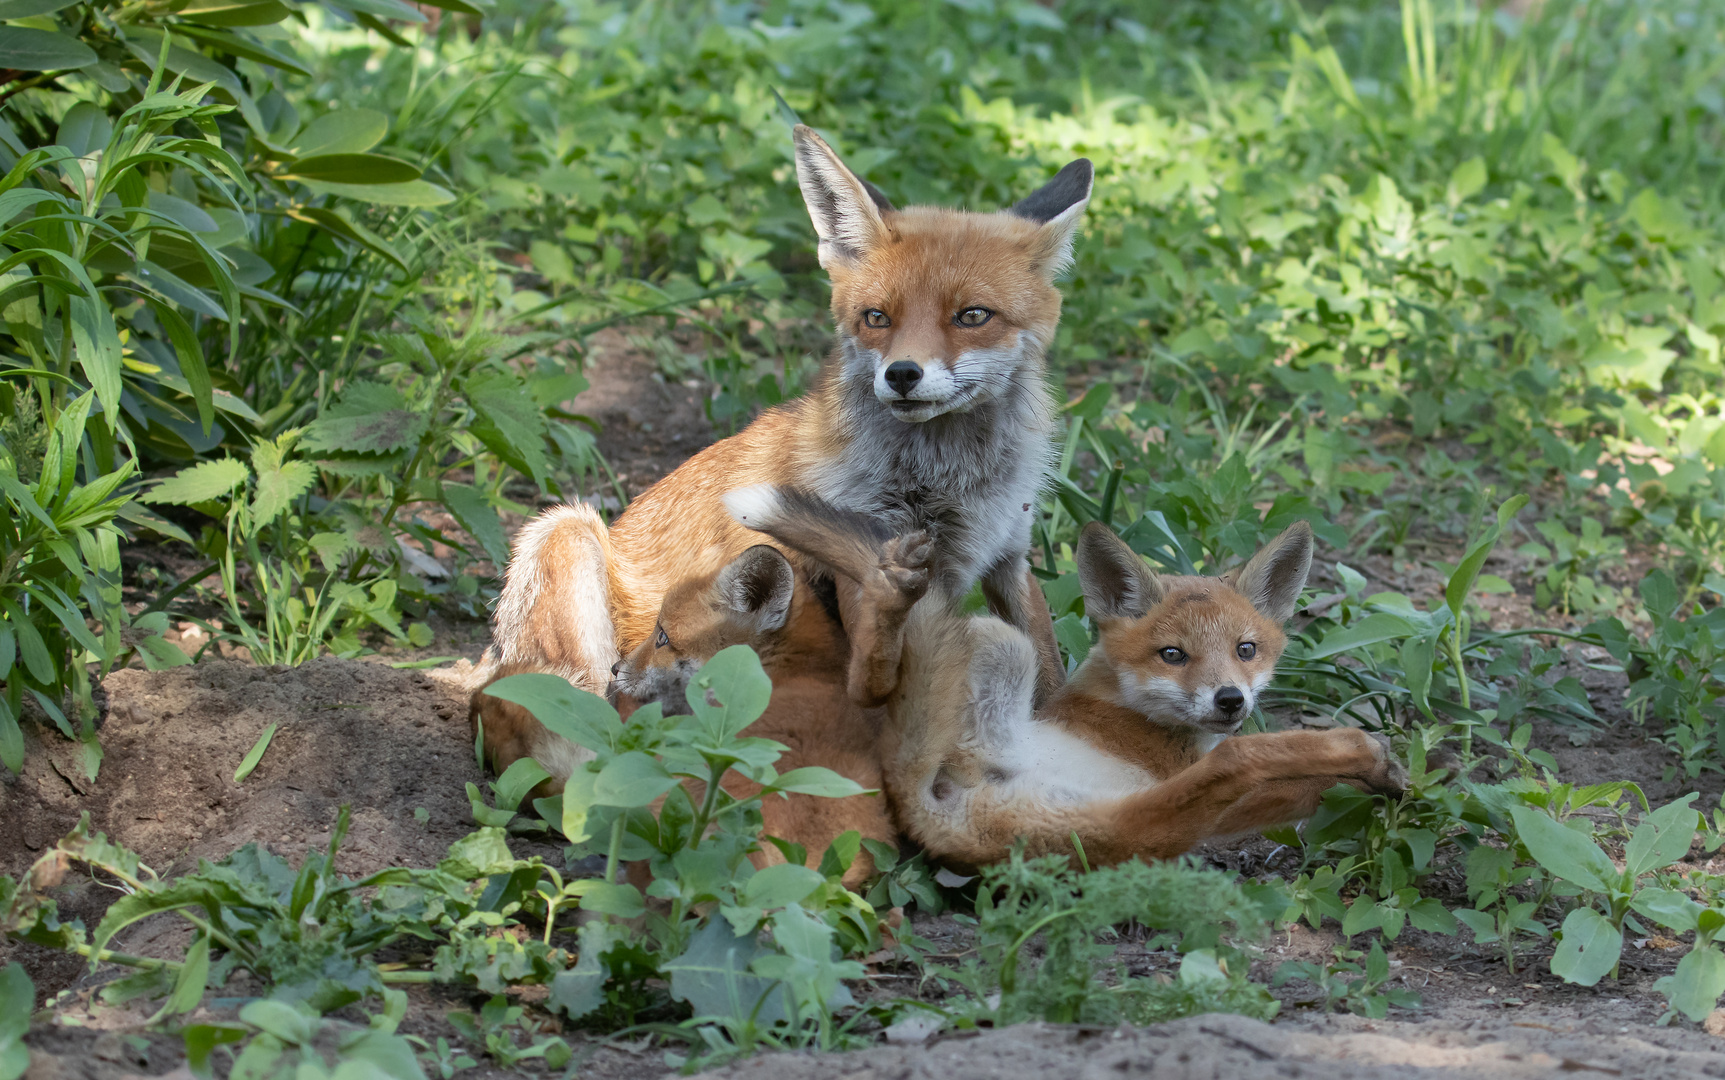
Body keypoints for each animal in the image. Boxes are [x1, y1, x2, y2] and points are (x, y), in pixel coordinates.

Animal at [472, 125, 1090, 776]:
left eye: (972, 315)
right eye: (876, 317)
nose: (902, 374)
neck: (954, 482)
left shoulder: (1009, 556)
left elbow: (1050, 670)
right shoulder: (858, 570)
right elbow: (878, 679)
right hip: (565, 532)